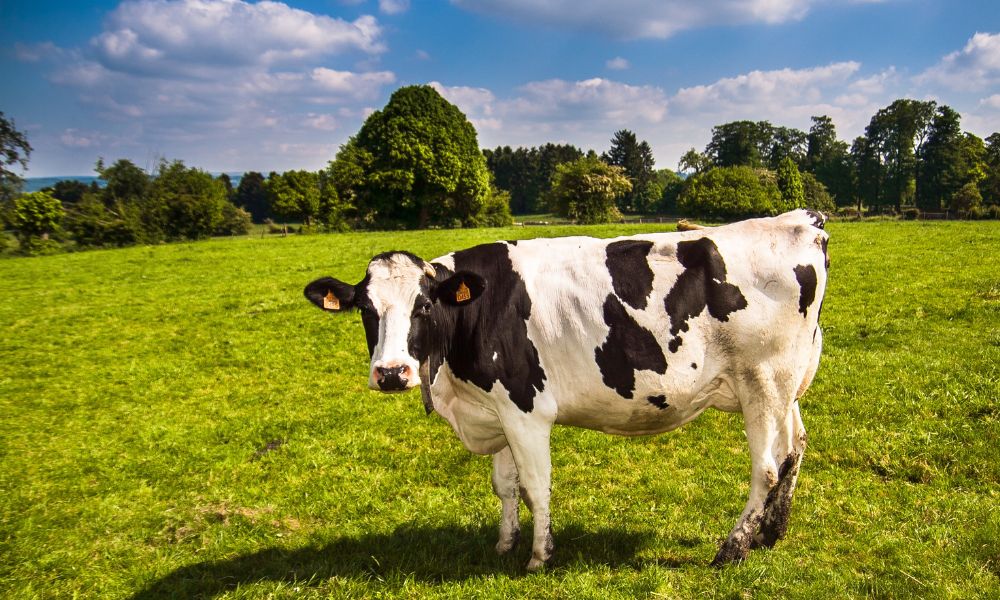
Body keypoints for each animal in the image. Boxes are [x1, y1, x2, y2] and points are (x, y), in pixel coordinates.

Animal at [303, 209, 829, 570]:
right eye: (366, 310)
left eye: (424, 306)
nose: (392, 373)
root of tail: (801, 220)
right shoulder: (496, 408)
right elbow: (505, 485)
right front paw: (504, 543)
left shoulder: (525, 408)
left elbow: (535, 485)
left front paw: (539, 556)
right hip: (785, 385)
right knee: (794, 448)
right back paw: (771, 532)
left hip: (762, 382)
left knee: (766, 468)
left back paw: (733, 548)